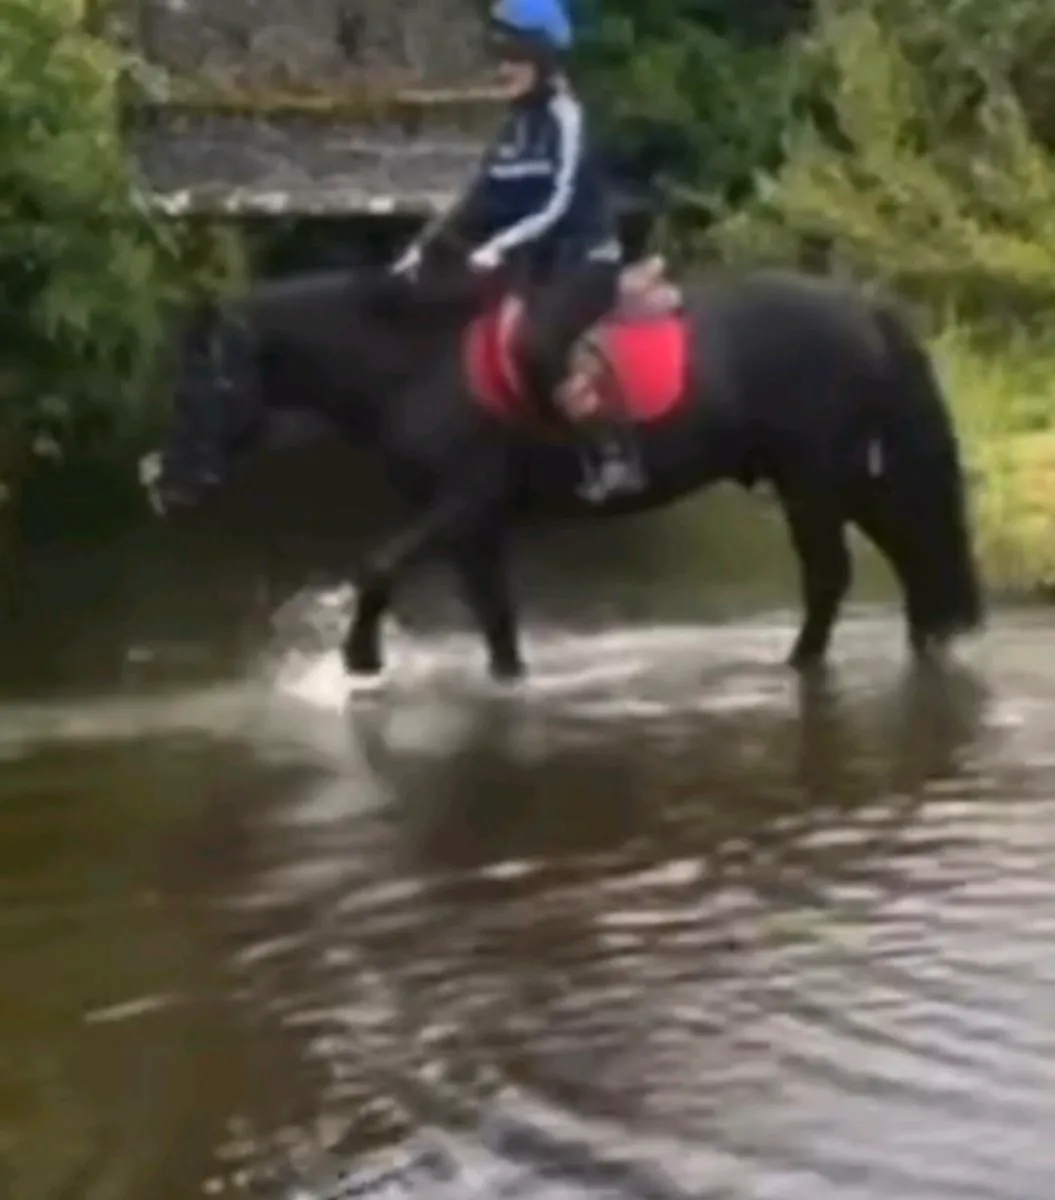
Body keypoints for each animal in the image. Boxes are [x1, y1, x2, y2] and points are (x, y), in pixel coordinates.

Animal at [142, 255, 984, 681]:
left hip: (814, 479)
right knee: (912, 552)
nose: (166, 484)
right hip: (847, 476)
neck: (415, 363)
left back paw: (797, 665)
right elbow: (496, 624)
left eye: (210, 383)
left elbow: (377, 564)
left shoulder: (460, 503)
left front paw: (360, 661)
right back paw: (926, 644)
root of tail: (863, 309)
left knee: (833, 575)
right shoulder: (472, 525)